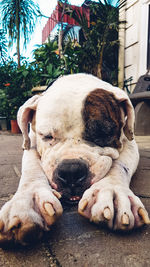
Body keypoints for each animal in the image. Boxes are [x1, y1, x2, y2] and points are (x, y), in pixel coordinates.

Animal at [0, 73, 150, 245]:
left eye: (102, 133)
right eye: (47, 136)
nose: (71, 171)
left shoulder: (130, 143)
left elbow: (119, 165)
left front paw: (112, 191)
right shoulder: (31, 143)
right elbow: (31, 169)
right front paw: (27, 201)